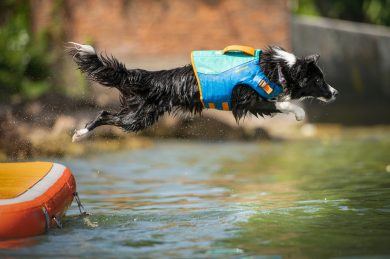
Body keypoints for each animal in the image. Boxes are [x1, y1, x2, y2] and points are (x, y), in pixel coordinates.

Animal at [68, 42, 338, 142]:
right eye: (318, 80)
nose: (335, 92)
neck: (280, 68)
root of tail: (150, 76)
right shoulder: (249, 100)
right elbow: (283, 103)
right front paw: (300, 113)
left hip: (138, 113)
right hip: (139, 118)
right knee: (105, 114)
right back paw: (80, 134)